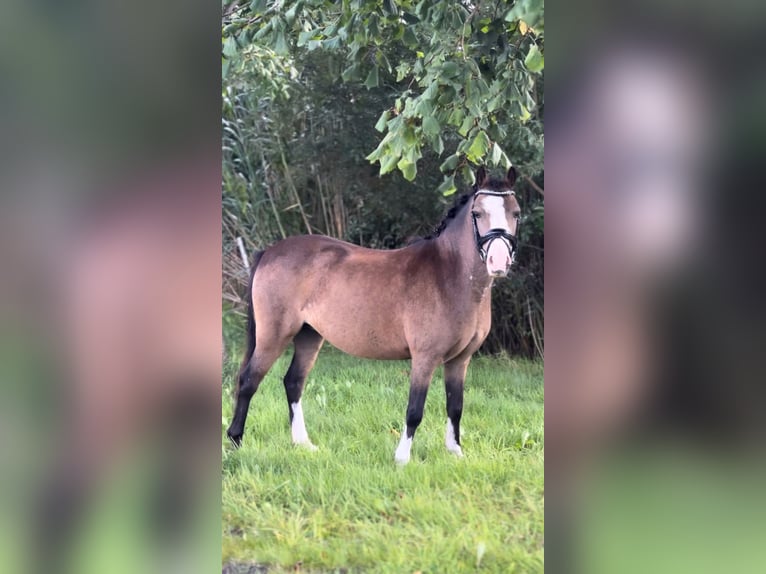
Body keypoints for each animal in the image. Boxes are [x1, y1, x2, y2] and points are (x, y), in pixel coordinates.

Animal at [226, 165, 520, 464]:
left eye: (516, 213)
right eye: (477, 213)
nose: (499, 262)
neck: (449, 274)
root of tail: (270, 251)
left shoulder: (460, 360)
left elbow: (456, 406)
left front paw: (455, 452)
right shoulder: (424, 358)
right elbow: (415, 409)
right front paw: (402, 459)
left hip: (310, 336)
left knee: (293, 382)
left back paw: (303, 444)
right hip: (273, 336)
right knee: (248, 381)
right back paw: (236, 441)